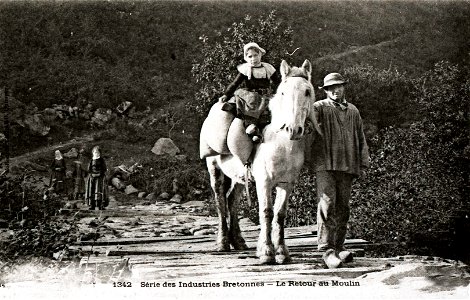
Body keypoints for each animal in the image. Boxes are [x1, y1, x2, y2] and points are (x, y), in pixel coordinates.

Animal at [204, 59, 318, 264]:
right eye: (283, 92)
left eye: (307, 91)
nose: (293, 129)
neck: (280, 143)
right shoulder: (264, 182)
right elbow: (266, 212)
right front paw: (266, 252)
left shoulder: (286, 184)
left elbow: (280, 215)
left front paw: (281, 252)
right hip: (214, 169)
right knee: (220, 201)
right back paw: (223, 243)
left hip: (240, 177)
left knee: (231, 200)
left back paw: (239, 241)